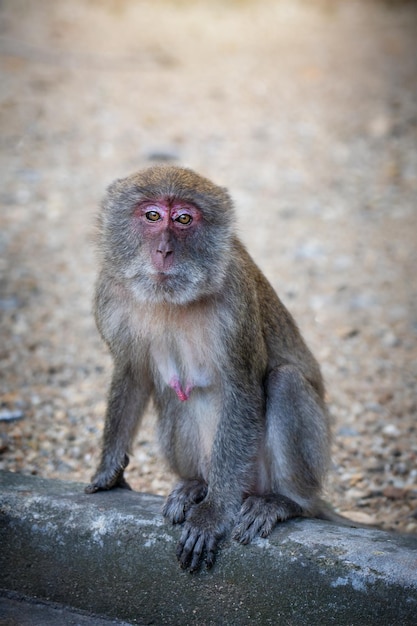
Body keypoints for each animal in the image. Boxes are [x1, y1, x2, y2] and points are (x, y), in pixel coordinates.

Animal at [83, 165, 338, 572]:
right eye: (152, 215)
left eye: (184, 219)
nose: (164, 250)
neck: (169, 297)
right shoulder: (110, 291)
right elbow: (132, 374)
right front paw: (108, 471)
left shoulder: (235, 299)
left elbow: (243, 390)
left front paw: (214, 513)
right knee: (175, 397)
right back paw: (195, 485)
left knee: (285, 382)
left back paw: (284, 502)